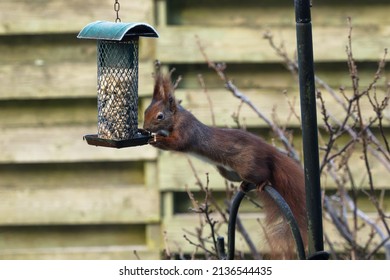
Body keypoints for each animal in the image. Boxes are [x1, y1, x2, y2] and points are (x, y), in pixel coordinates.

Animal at [143, 65, 308, 258]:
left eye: (160, 116)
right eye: (145, 112)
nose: (145, 128)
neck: (176, 119)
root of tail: (267, 150)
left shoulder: (186, 130)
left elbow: (178, 143)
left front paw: (156, 140)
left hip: (248, 165)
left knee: (264, 172)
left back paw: (263, 182)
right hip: (228, 172)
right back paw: (244, 185)